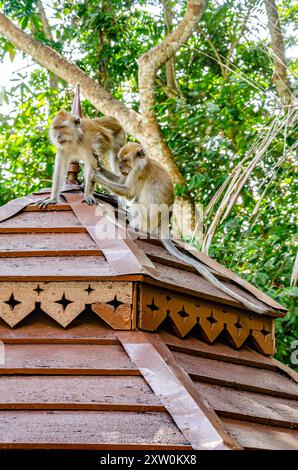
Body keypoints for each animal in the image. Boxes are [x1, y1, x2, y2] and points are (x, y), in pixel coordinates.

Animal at [93, 141, 270, 314]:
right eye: (120, 160)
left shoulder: (138, 171)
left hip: (145, 221)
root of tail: (163, 227)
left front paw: (96, 176)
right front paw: (99, 167)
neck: (143, 161)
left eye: (124, 160)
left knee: (137, 203)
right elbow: (121, 182)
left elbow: (129, 192)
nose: (120, 166)